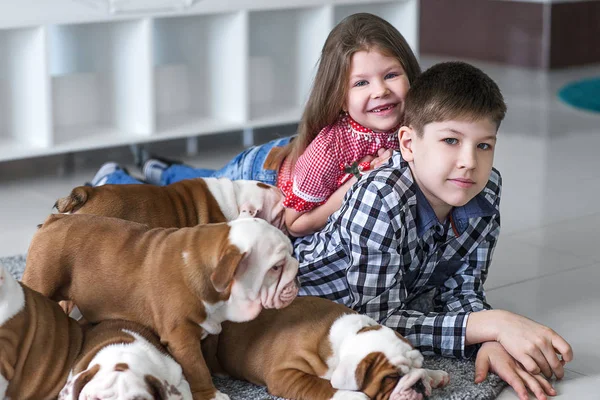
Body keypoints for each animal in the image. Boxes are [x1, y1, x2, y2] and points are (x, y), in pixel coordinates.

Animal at [203, 296, 450, 400]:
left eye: (420, 364)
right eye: (391, 378)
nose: (418, 384)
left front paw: (433, 375)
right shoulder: (285, 374)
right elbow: (321, 386)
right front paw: (355, 396)